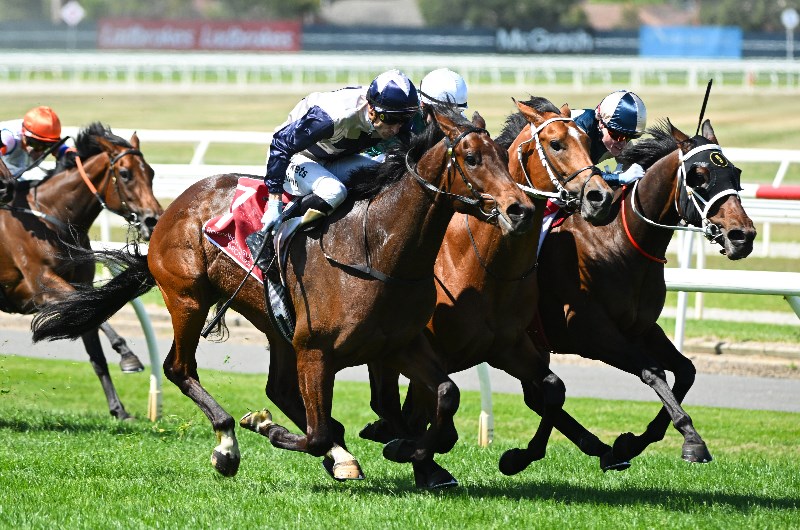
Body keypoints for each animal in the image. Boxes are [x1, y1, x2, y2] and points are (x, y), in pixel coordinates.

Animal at [1, 122, 163, 420]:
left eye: (151, 172)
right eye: (125, 174)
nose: (152, 220)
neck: (53, 219)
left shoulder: (82, 285)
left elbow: (96, 351)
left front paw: (119, 409)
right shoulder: (41, 287)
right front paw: (128, 357)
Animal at [32, 106, 536, 488]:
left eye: (502, 155)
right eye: (470, 157)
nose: (520, 208)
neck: (378, 249)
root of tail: (173, 207)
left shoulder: (398, 345)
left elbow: (446, 395)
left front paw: (409, 450)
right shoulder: (316, 351)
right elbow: (315, 433)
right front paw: (267, 427)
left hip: (274, 324)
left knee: (279, 388)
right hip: (189, 297)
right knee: (180, 368)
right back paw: (228, 443)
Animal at [359, 97, 626, 471]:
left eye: (588, 143)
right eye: (556, 143)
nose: (599, 196)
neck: (485, 267)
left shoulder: (507, 345)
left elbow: (552, 389)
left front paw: (518, 456)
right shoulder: (427, 350)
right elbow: (433, 413)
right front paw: (412, 452)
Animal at [512, 118, 756, 471]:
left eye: (735, 173)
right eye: (698, 175)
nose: (743, 236)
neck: (620, 244)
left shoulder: (641, 329)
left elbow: (686, 370)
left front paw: (630, 444)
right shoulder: (591, 335)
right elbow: (653, 371)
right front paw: (692, 440)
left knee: (537, 395)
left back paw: (592, 448)